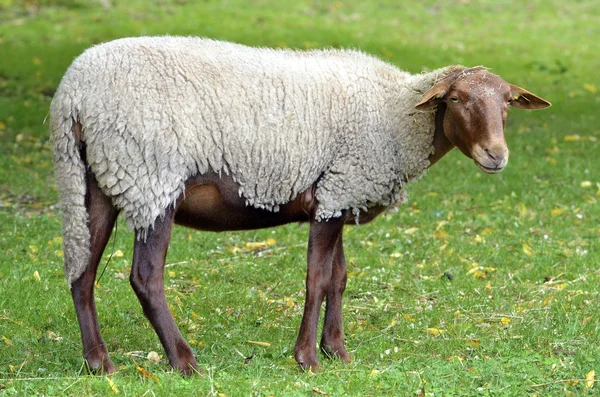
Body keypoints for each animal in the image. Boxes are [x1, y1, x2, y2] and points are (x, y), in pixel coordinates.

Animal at [49, 35, 552, 372]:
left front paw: (338, 351)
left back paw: (99, 364)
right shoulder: (337, 192)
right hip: (152, 178)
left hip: (98, 181)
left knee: (81, 273)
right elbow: (316, 279)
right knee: (145, 277)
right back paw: (184, 361)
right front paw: (308, 358)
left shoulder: (339, 193)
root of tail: (71, 95)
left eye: (507, 103)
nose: (496, 155)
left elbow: (339, 278)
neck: (396, 114)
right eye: (457, 99)